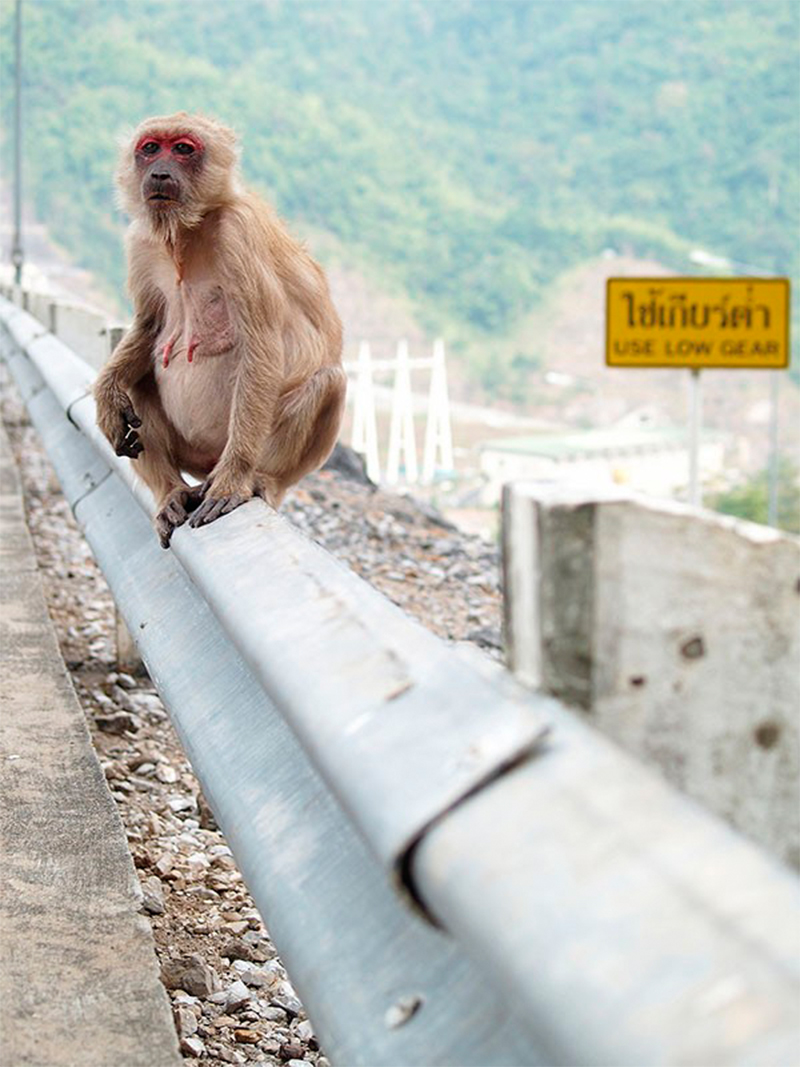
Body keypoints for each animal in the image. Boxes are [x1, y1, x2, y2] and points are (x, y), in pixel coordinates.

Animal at [93, 114, 345, 550]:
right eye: (150, 148)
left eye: (182, 149)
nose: (160, 172)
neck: (186, 229)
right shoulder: (140, 241)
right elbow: (148, 326)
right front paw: (106, 396)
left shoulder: (238, 233)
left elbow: (262, 346)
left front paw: (233, 482)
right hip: (190, 454)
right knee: (138, 381)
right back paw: (171, 492)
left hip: (237, 449)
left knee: (329, 380)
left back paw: (259, 479)